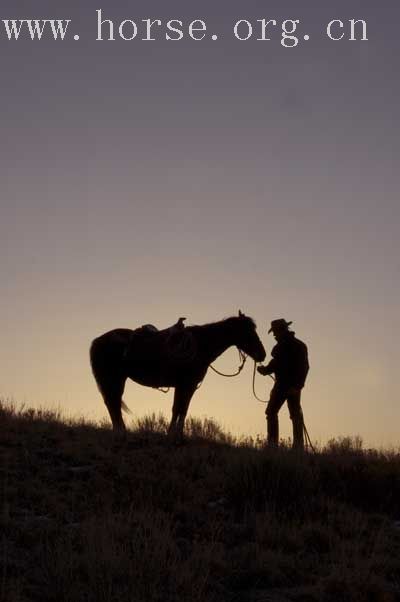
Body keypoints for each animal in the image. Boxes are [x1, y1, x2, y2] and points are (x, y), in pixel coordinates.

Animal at [90, 310, 266, 436]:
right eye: (248, 332)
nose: (262, 354)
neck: (200, 345)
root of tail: (98, 340)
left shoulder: (189, 386)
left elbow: (183, 409)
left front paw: (178, 433)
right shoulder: (184, 384)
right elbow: (177, 408)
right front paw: (172, 434)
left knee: (112, 402)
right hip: (114, 378)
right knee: (113, 402)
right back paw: (120, 430)